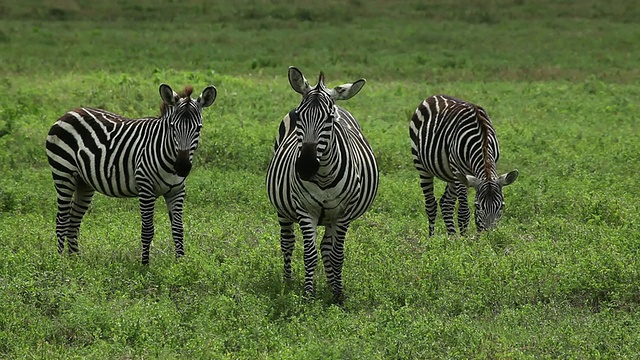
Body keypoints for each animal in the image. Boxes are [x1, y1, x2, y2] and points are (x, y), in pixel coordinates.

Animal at [45, 83, 218, 264]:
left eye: (198, 128)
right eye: (172, 127)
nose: (182, 167)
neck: (170, 158)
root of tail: (69, 112)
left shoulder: (177, 191)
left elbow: (178, 229)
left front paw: (180, 263)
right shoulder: (146, 188)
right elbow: (148, 230)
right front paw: (145, 264)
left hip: (84, 182)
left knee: (73, 221)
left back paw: (75, 261)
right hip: (63, 174)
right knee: (62, 220)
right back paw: (60, 262)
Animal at [266, 67, 380, 304]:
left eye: (329, 118)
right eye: (300, 115)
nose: (306, 166)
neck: (324, 177)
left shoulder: (344, 213)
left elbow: (337, 254)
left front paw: (338, 294)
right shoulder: (305, 210)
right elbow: (309, 254)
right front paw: (308, 295)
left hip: (331, 216)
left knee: (327, 248)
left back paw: (331, 285)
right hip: (284, 209)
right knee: (287, 243)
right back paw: (288, 283)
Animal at [410, 94, 520, 236]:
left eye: (502, 205)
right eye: (478, 206)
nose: (490, 235)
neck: (483, 141)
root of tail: (435, 96)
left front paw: (478, 239)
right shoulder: (459, 170)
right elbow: (464, 212)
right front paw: (465, 240)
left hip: (452, 175)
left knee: (446, 204)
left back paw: (452, 237)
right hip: (422, 166)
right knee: (431, 205)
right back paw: (432, 238)